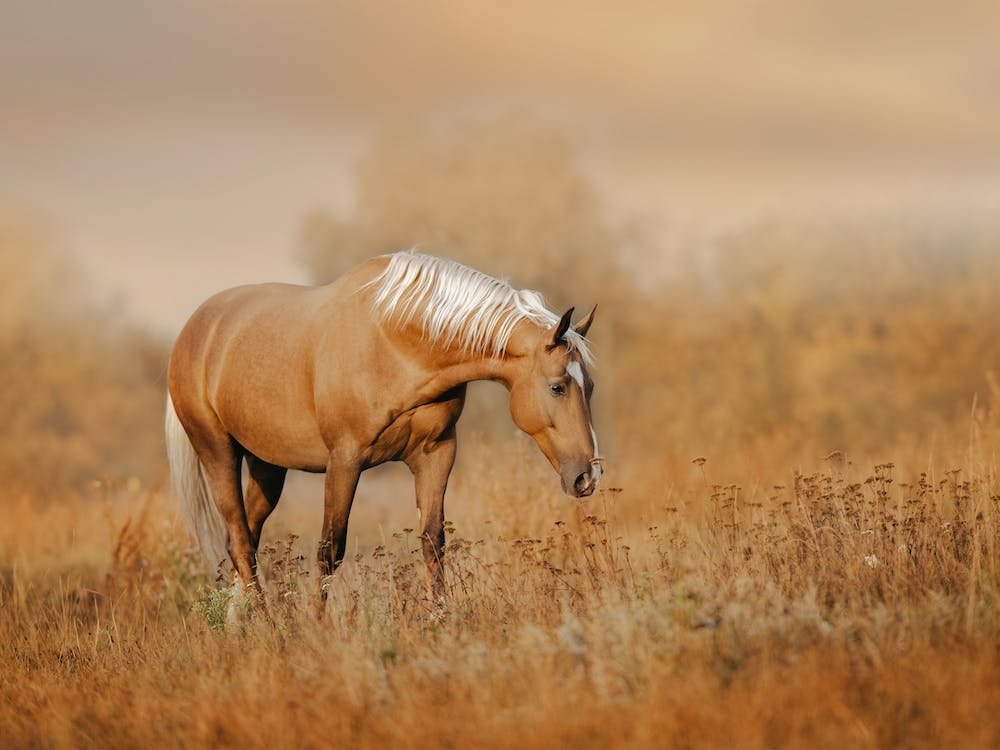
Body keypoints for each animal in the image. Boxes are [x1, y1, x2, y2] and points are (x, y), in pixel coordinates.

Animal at [165, 251, 601, 604]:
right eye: (558, 386)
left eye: (591, 386)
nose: (588, 476)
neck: (395, 342)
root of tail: (194, 330)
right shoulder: (344, 460)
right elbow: (330, 550)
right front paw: (318, 629)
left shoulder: (436, 454)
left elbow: (433, 542)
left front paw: (441, 619)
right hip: (218, 452)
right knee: (240, 543)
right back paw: (270, 627)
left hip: (267, 465)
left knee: (246, 541)